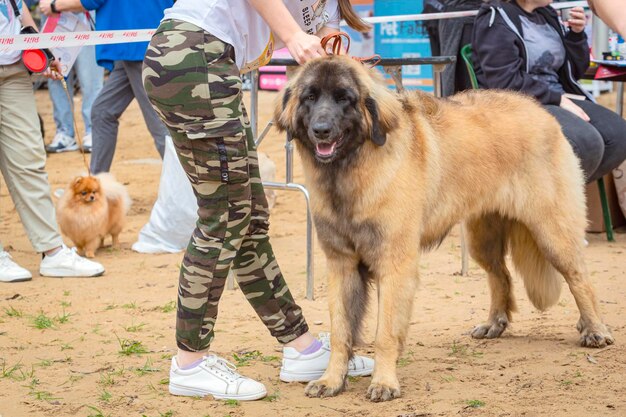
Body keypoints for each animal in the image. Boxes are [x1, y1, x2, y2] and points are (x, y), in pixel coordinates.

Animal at [272, 55, 608, 400]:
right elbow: (341, 331)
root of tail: (541, 111)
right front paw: (331, 380)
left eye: (344, 99)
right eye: (310, 97)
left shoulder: (395, 264)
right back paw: (495, 323)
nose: (321, 130)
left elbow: (385, 332)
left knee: (579, 277)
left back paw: (594, 329)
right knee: (500, 275)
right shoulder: (342, 264)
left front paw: (384, 382)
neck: (351, 169)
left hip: (552, 232)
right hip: (482, 238)